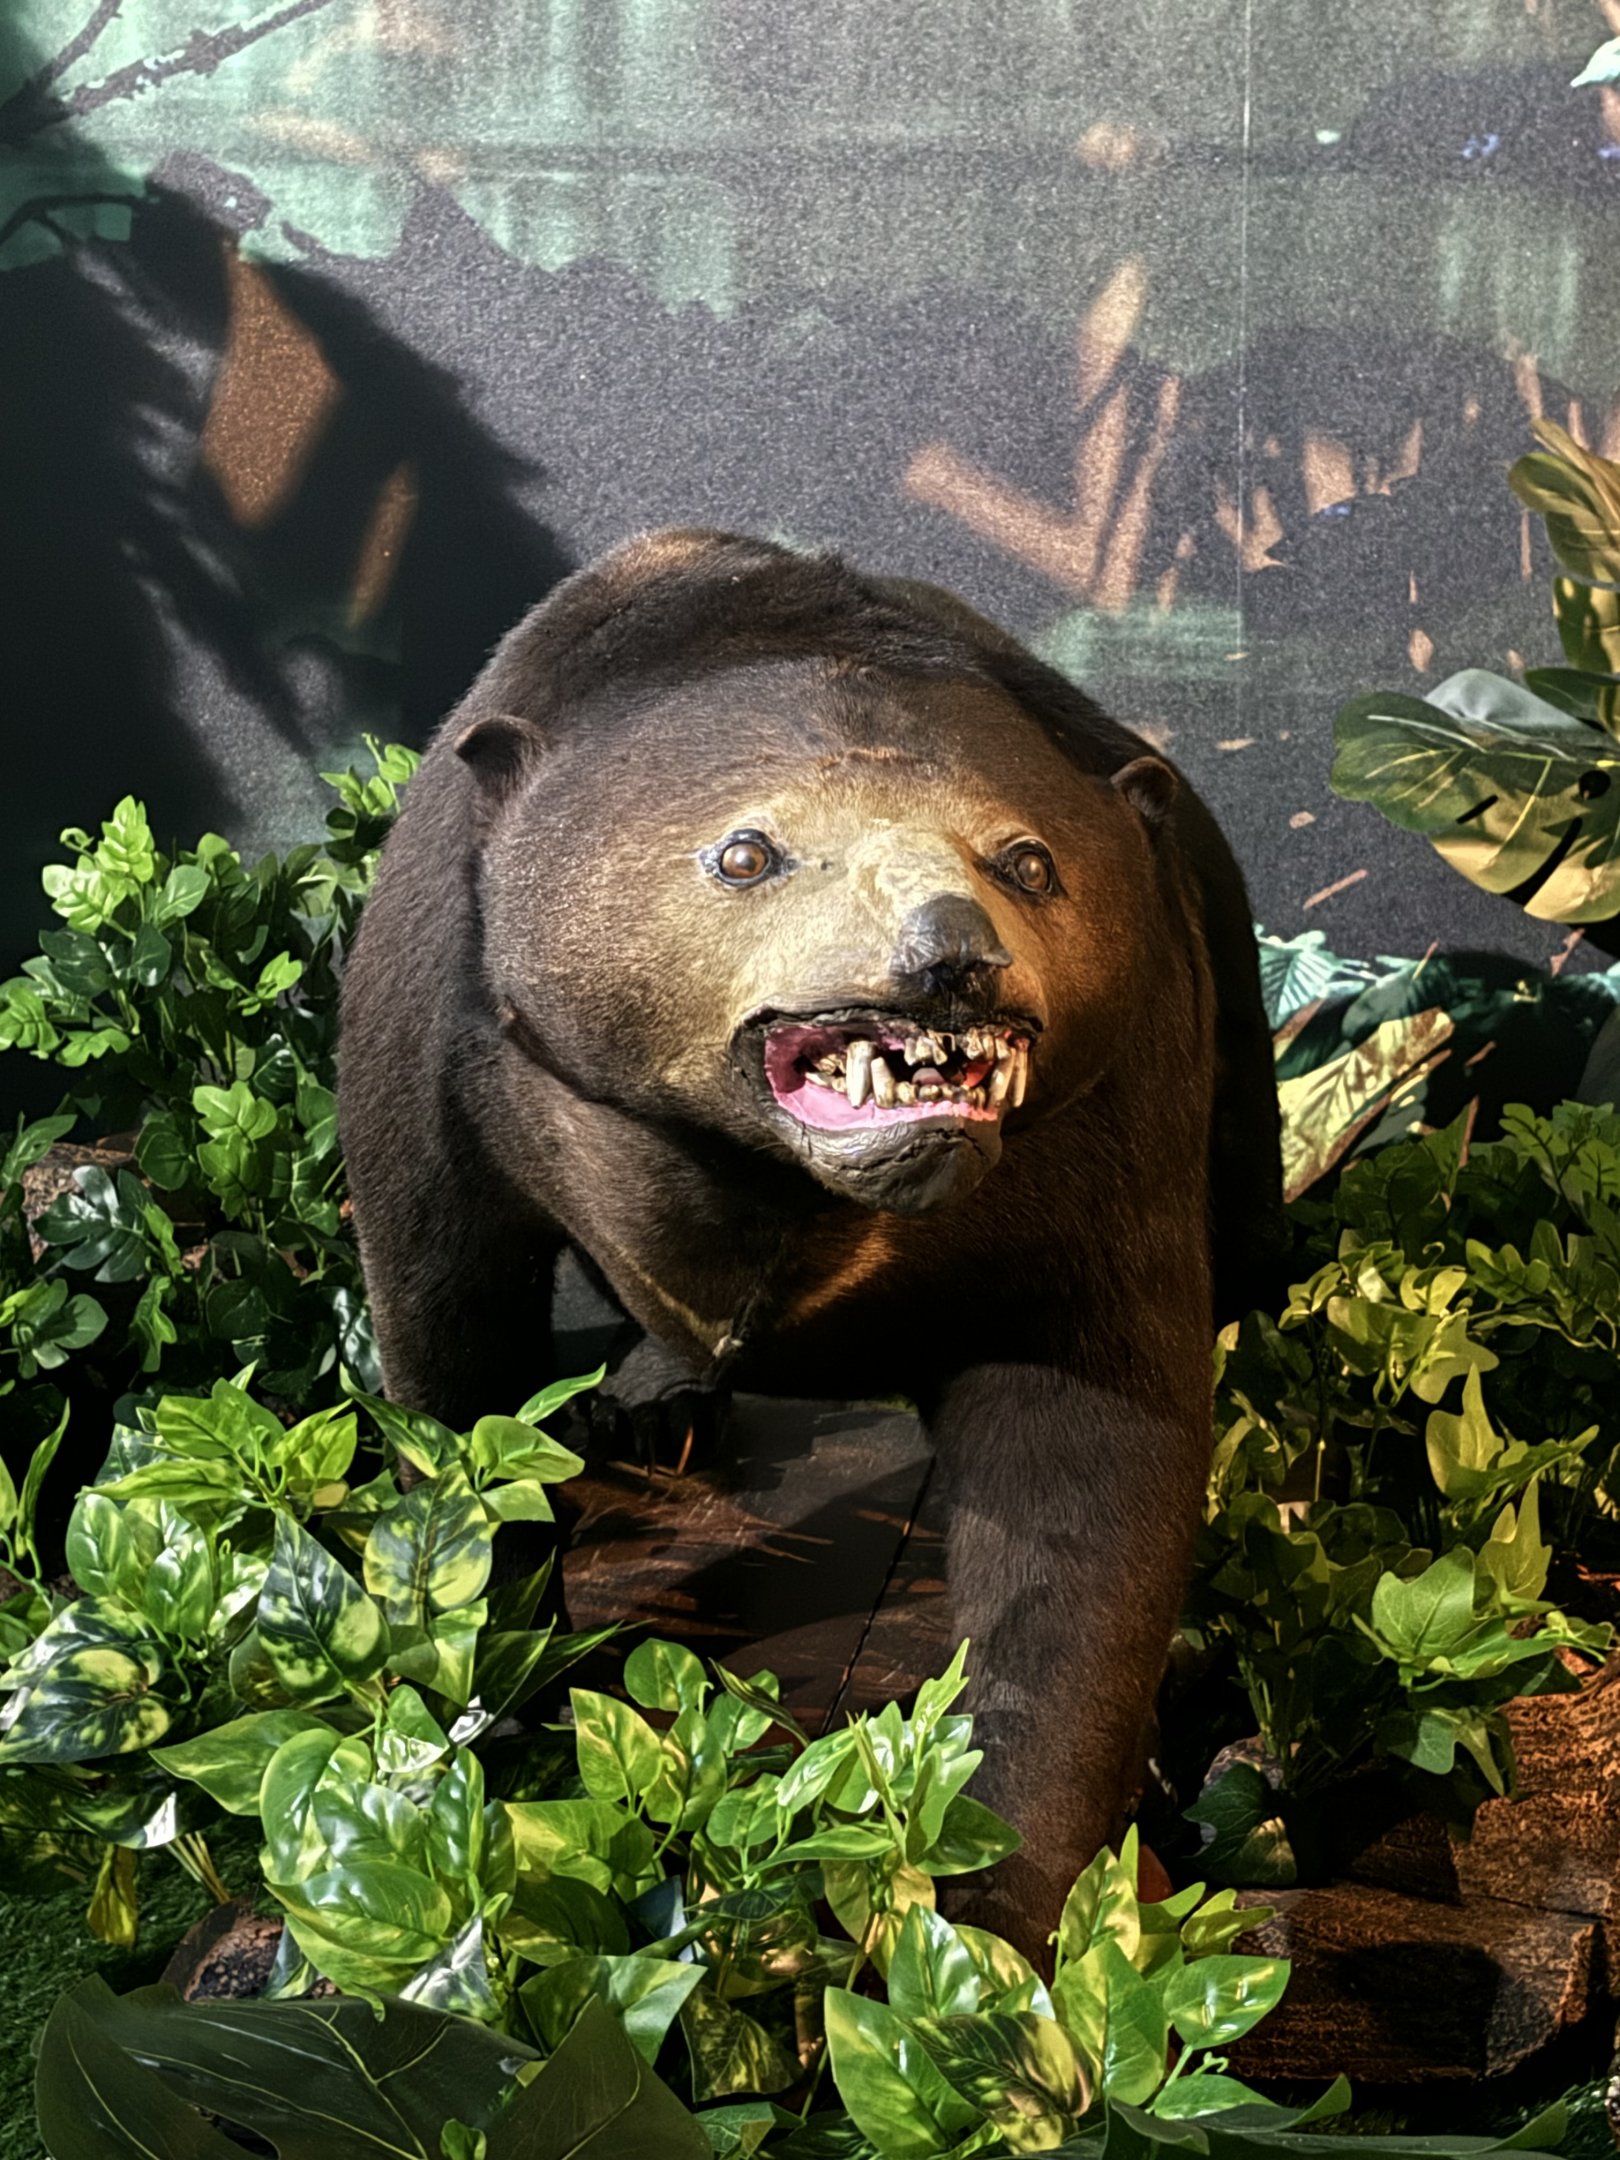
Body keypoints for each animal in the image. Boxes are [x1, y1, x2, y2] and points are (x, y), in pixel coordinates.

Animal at [337, 528, 1284, 1958]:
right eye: (744, 854)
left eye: (1030, 862)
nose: (951, 953)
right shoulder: (435, 1049)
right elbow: (456, 1378)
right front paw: (500, 1759)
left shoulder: (1117, 1125)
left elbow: (1091, 1473)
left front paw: (1003, 1925)